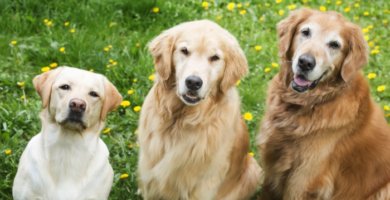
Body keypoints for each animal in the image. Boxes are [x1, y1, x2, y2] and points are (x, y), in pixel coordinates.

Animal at [137, 19, 262, 200]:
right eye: (184, 51)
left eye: (215, 57)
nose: (193, 82)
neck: (180, 120)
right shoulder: (150, 176)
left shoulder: (204, 185)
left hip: (253, 170)